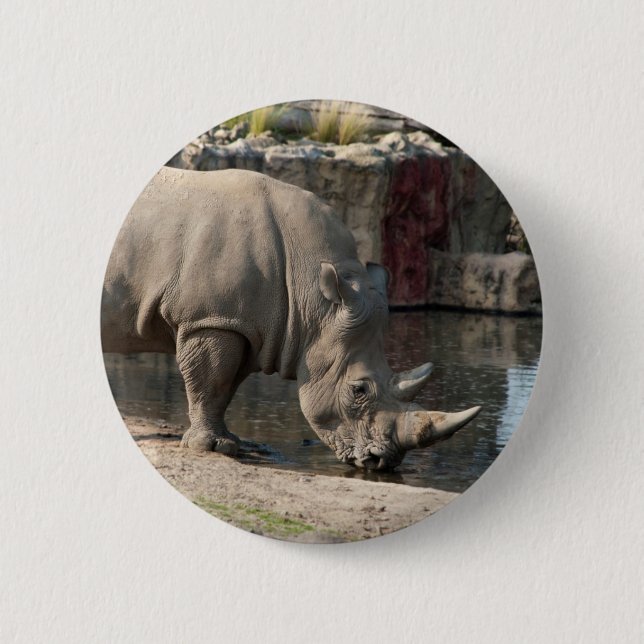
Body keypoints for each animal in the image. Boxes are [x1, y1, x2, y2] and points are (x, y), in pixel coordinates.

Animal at [101, 167, 480, 471]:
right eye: (358, 390)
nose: (381, 462)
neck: (314, 295)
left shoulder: (249, 327)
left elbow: (225, 386)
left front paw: (228, 442)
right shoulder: (211, 319)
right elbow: (210, 381)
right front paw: (209, 448)